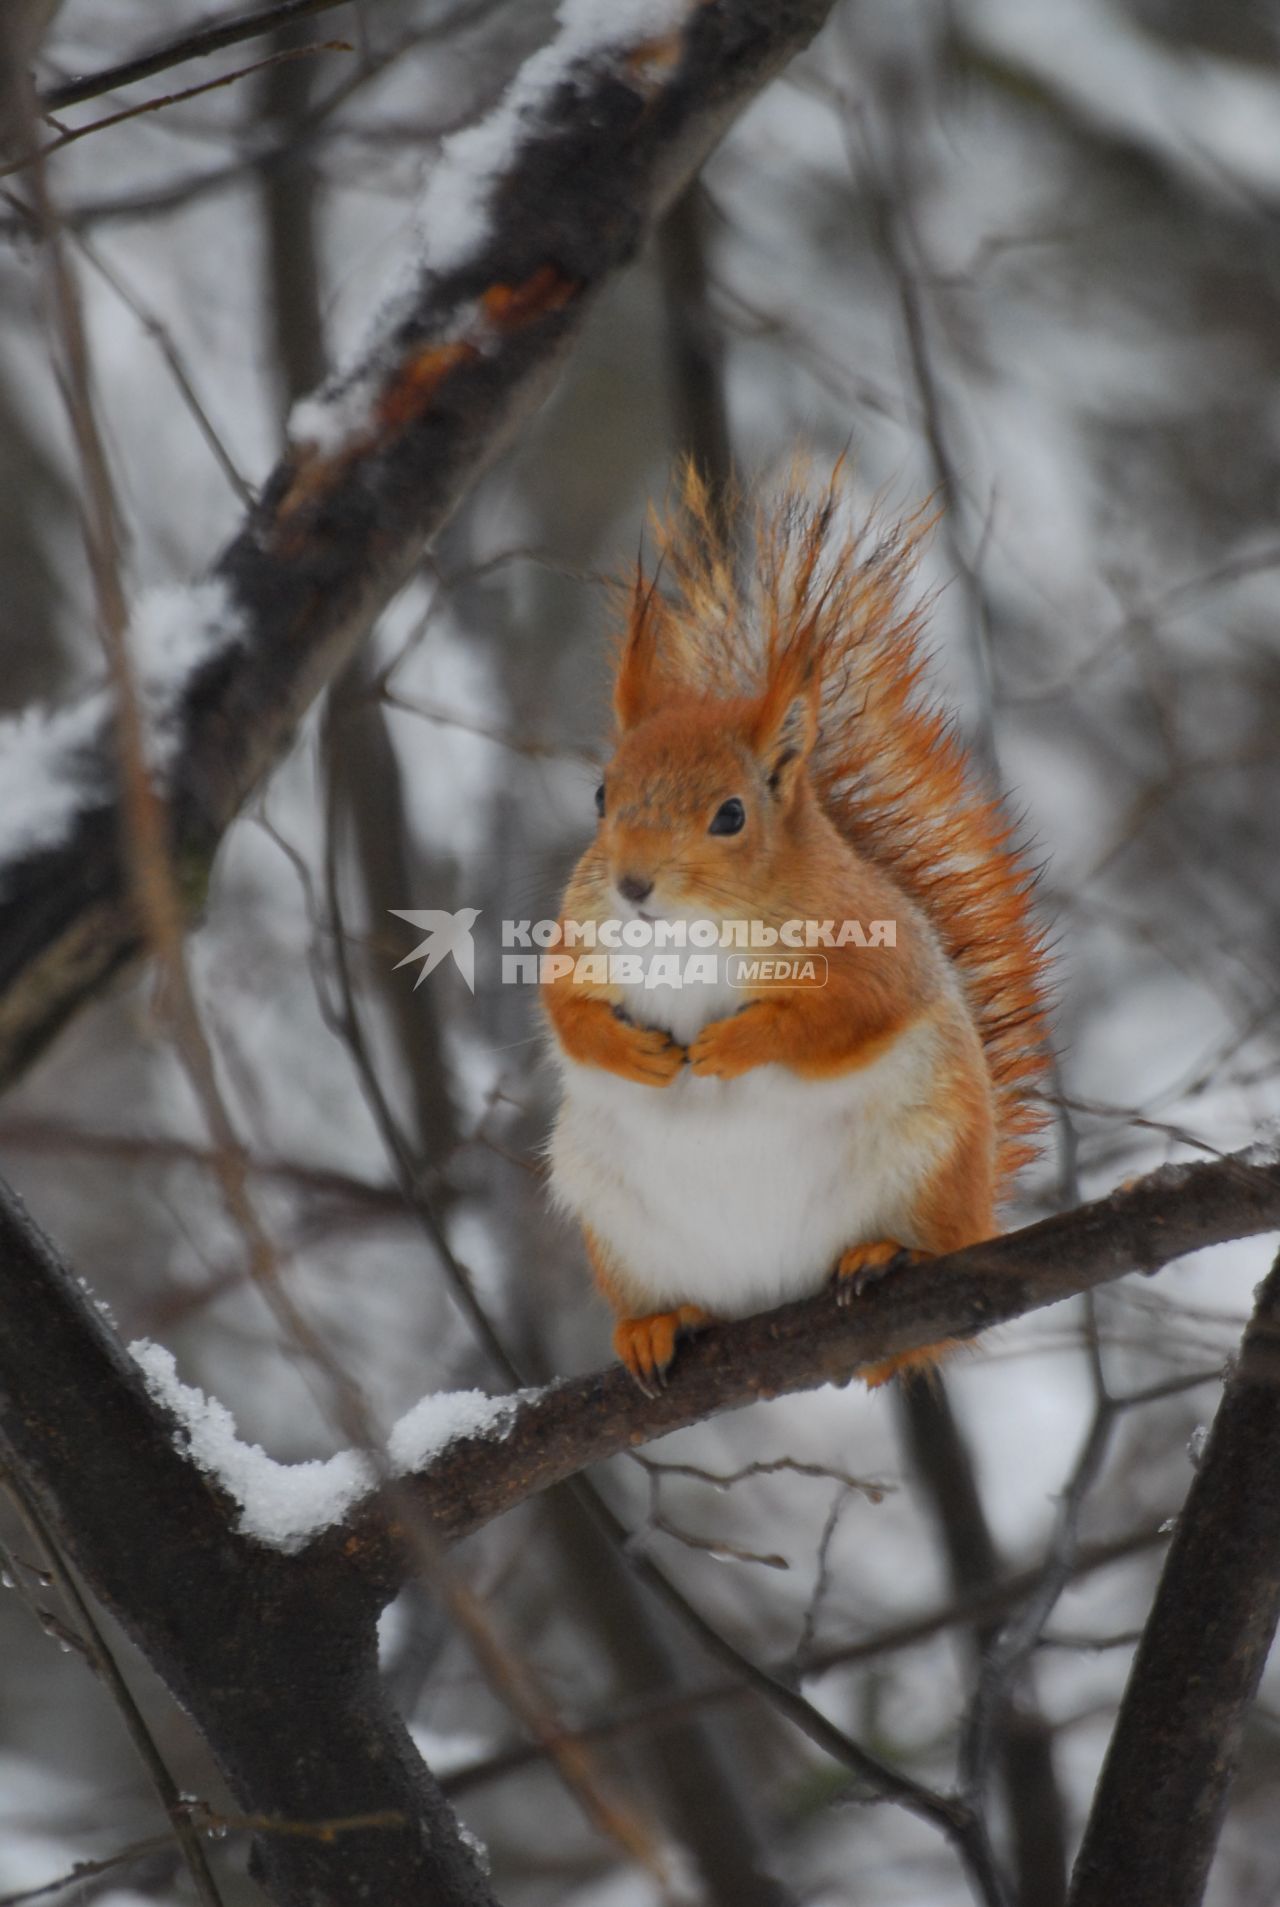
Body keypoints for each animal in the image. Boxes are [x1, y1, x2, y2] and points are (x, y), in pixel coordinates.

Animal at [541, 461, 1052, 1388]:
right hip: (618, 1228)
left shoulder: (870, 948)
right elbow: (563, 1011)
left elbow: (845, 1015)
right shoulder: (578, 938)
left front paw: (733, 1044)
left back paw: (882, 1256)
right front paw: (631, 1052)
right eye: (601, 794)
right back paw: (657, 1324)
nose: (632, 885)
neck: (692, 929)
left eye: (731, 815)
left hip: (931, 1158)